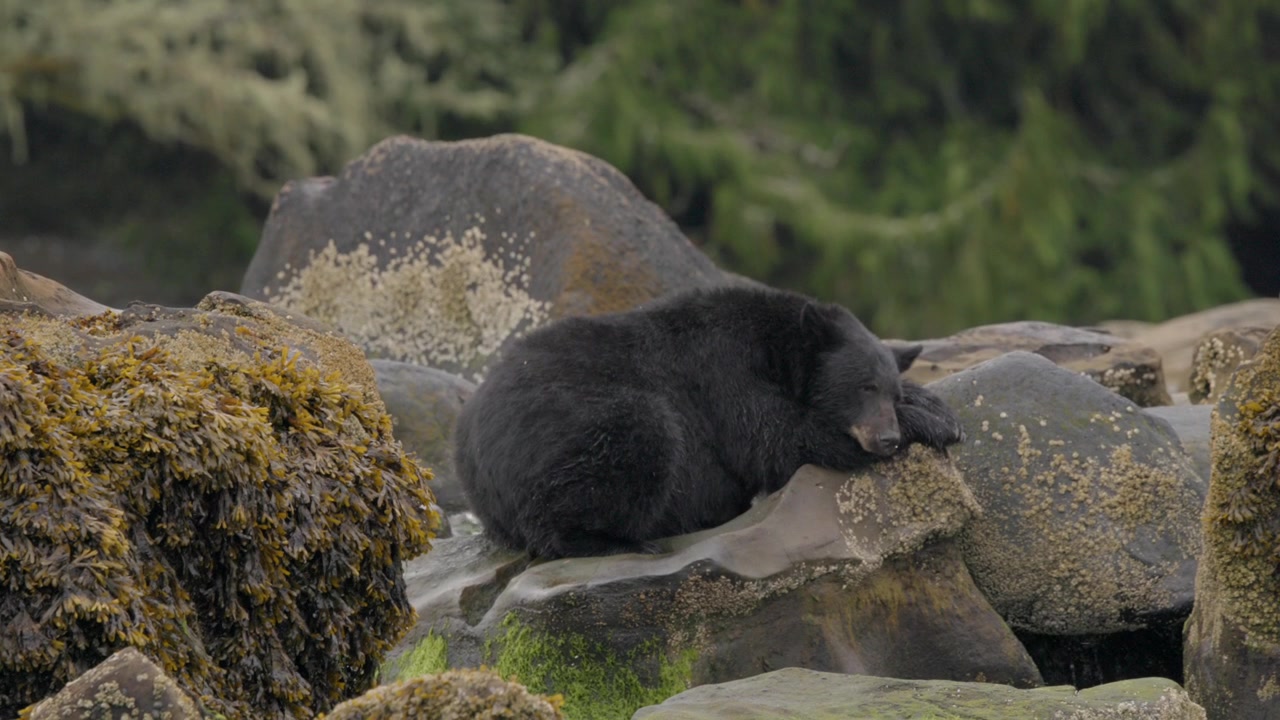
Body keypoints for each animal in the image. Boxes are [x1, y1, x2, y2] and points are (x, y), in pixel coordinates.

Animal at [453, 285, 964, 559]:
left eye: (890, 391)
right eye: (864, 387)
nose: (886, 438)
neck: (776, 348)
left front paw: (936, 409)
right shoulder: (721, 370)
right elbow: (775, 437)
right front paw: (929, 422)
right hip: (563, 425)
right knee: (639, 433)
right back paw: (616, 542)